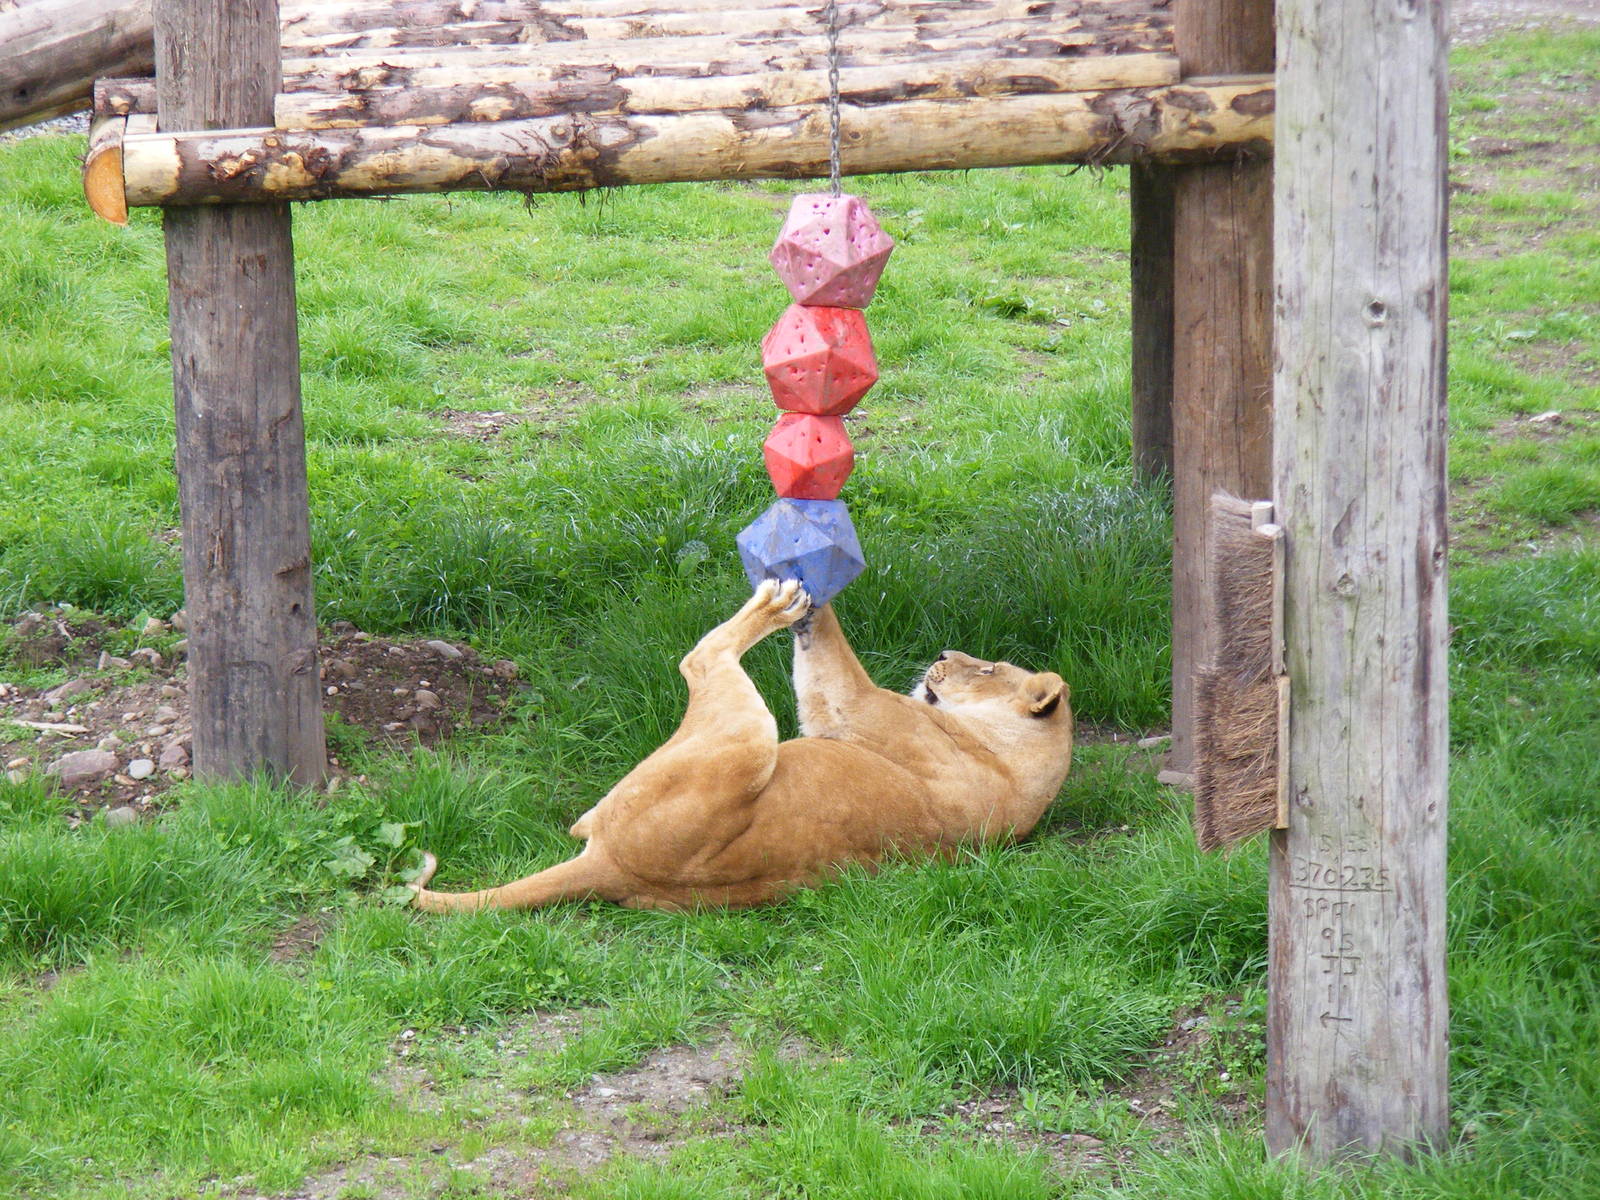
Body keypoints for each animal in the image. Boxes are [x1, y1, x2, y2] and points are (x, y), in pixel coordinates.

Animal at [409, 578, 1073, 912]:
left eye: (988, 669)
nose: (941, 653)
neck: (1017, 771)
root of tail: (611, 867)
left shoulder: (858, 710)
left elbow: (833, 672)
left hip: (750, 738)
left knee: (700, 657)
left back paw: (776, 601)